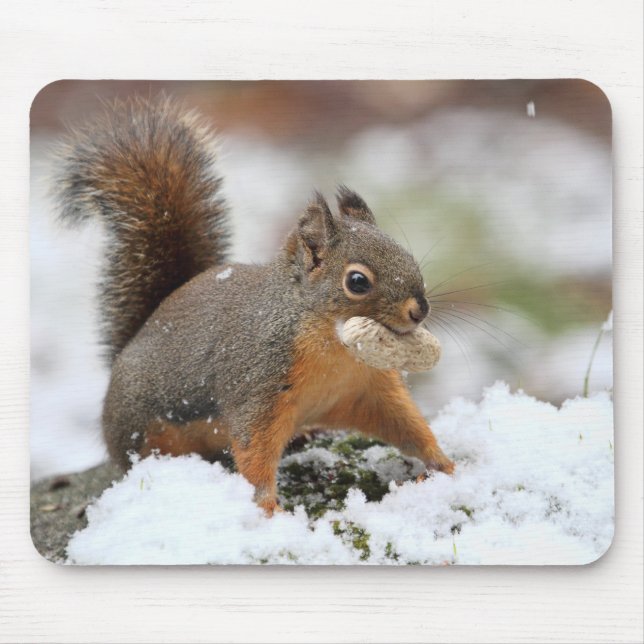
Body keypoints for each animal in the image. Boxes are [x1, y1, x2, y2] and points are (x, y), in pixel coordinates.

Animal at [54, 96, 455, 515]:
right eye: (357, 281)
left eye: (407, 255)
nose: (420, 310)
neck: (333, 346)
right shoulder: (259, 383)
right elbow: (254, 449)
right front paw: (268, 509)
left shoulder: (367, 388)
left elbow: (405, 424)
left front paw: (443, 464)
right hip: (142, 428)